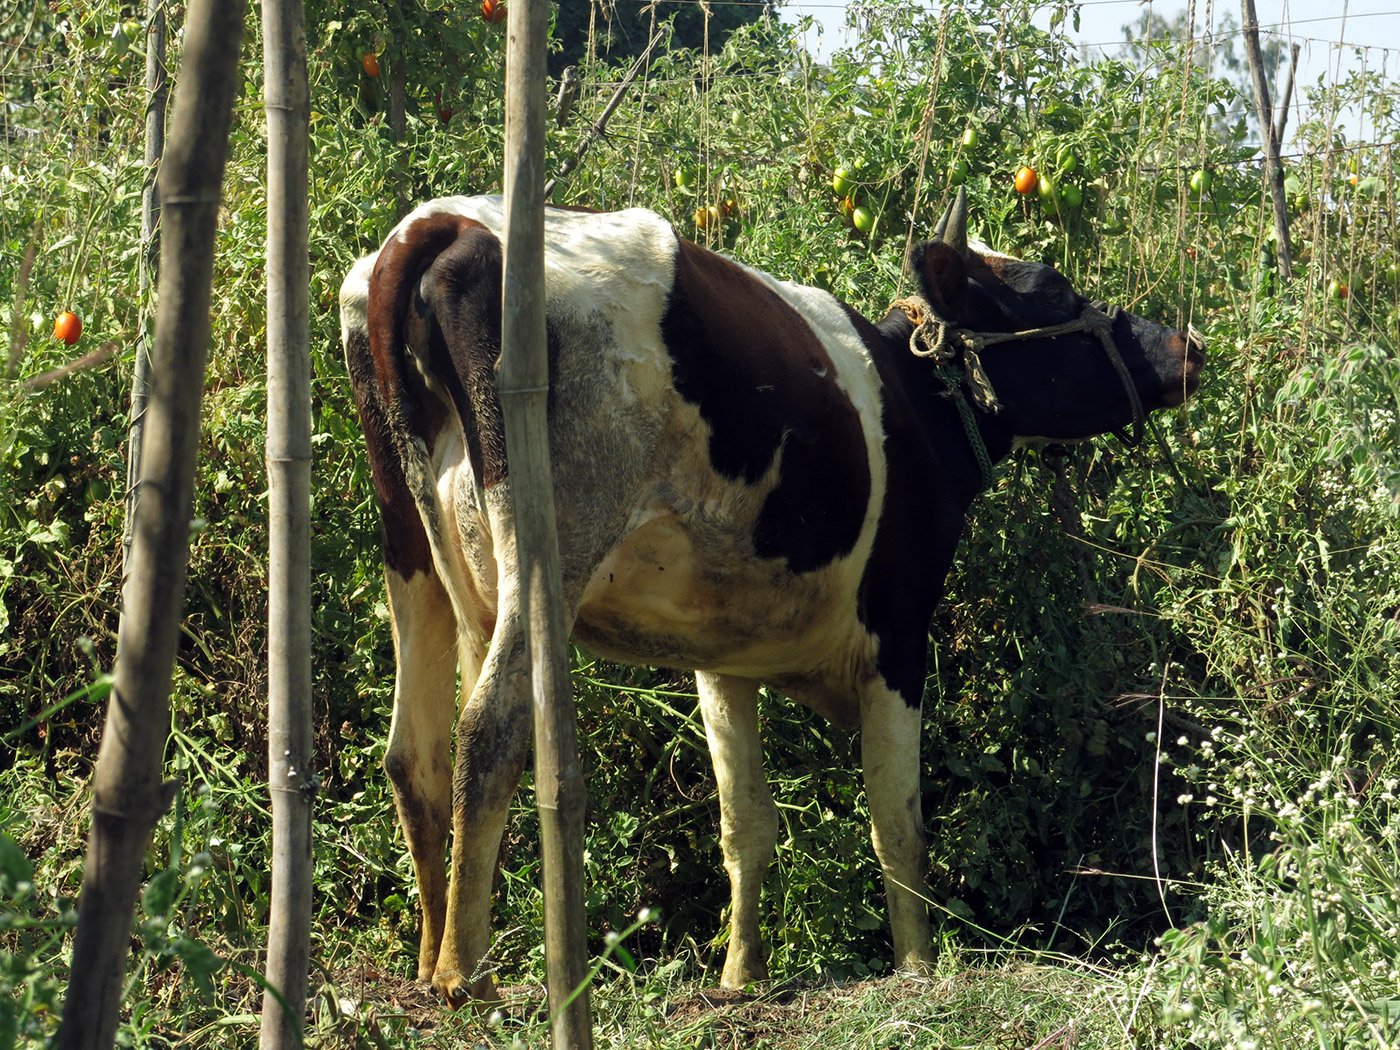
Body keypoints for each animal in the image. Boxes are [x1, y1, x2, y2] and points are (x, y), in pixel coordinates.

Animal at [338, 189, 1204, 1002]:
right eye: (1052, 287)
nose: (1186, 346)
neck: (916, 405)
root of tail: (442, 226)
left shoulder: (724, 659)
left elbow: (745, 822)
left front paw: (740, 975)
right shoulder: (901, 635)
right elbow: (898, 823)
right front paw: (917, 966)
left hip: (411, 555)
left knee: (413, 752)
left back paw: (428, 957)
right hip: (550, 545)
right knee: (488, 731)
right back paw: (466, 973)